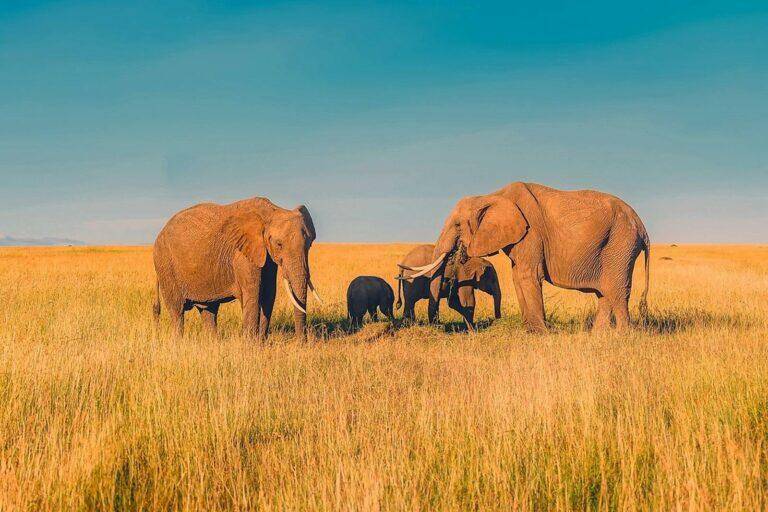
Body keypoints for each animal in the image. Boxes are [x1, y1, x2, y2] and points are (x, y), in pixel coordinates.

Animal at [152, 197, 321, 340]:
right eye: (279, 244)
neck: (271, 211)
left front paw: (261, 343)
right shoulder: (242, 254)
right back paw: (178, 343)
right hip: (165, 264)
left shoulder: (265, 255)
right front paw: (251, 345)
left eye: (310, 244)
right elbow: (253, 294)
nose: (301, 343)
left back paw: (213, 343)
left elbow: (268, 293)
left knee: (208, 311)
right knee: (177, 312)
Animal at [399, 182, 650, 333]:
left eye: (458, 225)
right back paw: (597, 336)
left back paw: (621, 337)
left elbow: (529, 275)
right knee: (605, 292)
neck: (492, 196)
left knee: (616, 290)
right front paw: (529, 329)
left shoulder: (531, 232)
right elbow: (517, 275)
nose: (498, 320)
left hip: (621, 243)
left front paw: (541, 332)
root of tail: (642, 228)